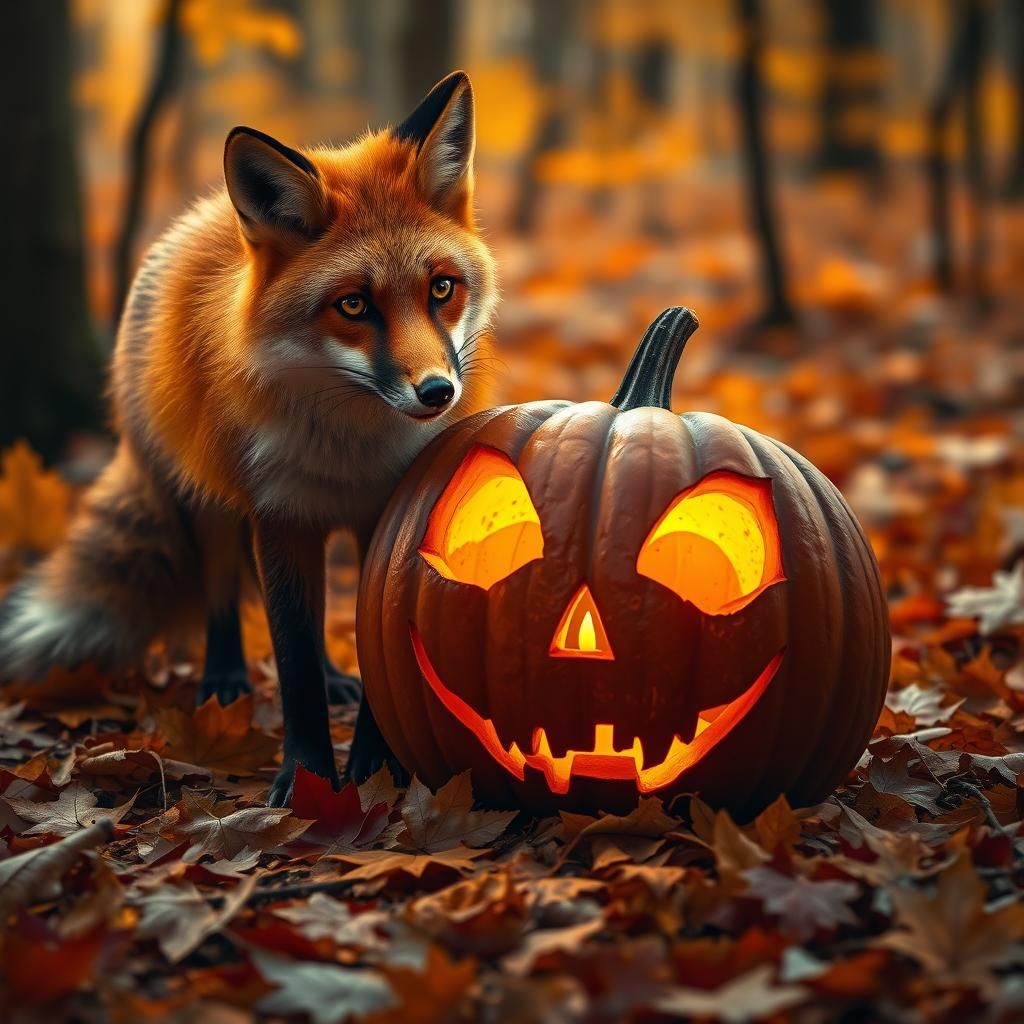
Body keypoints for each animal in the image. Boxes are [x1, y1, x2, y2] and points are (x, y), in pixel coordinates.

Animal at [0, 72, 498, 805]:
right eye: (354, 305)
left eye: (442, 288)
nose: (437, 393)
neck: (354, 455)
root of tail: (201, 214)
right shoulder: (278, 512)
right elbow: (291, 664)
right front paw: (306, 779)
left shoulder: (382, 515)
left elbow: (360, 643)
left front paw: (375, 769)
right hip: (208, 498)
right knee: (222, 589)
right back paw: (224, 681)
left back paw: (335, 677)